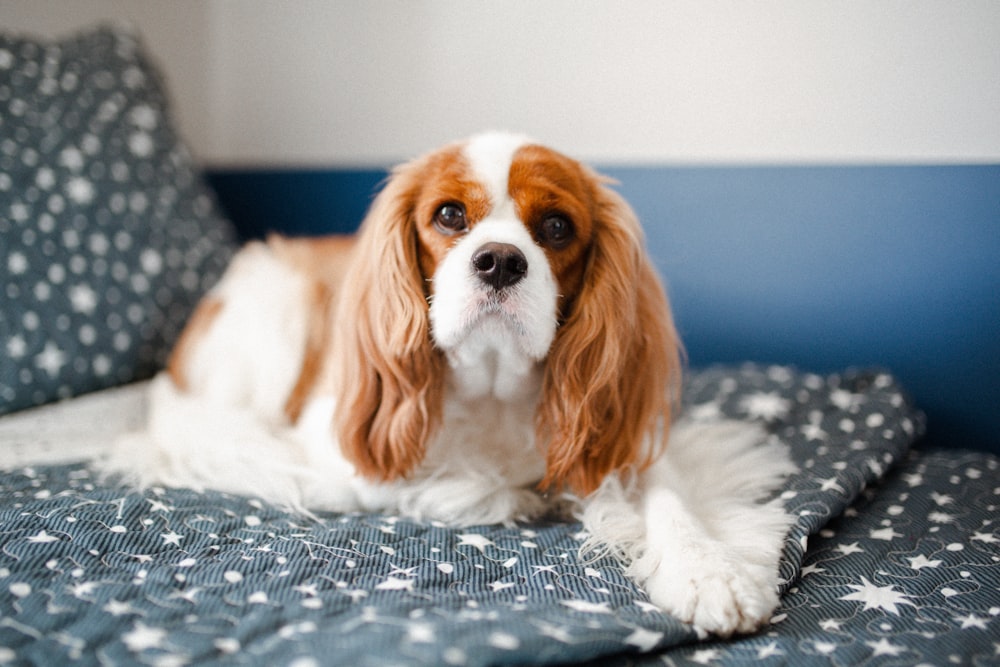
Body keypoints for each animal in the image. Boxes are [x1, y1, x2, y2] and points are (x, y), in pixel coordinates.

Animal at [107, 130, 796, 636]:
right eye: (448, 216)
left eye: (556, 227)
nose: (500, 261)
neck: (492, 390)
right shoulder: (339, 447)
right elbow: (444, 484)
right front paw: (523, 495)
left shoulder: (622, 437)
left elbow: (671, 498)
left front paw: (709, 571)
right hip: (275, 308)